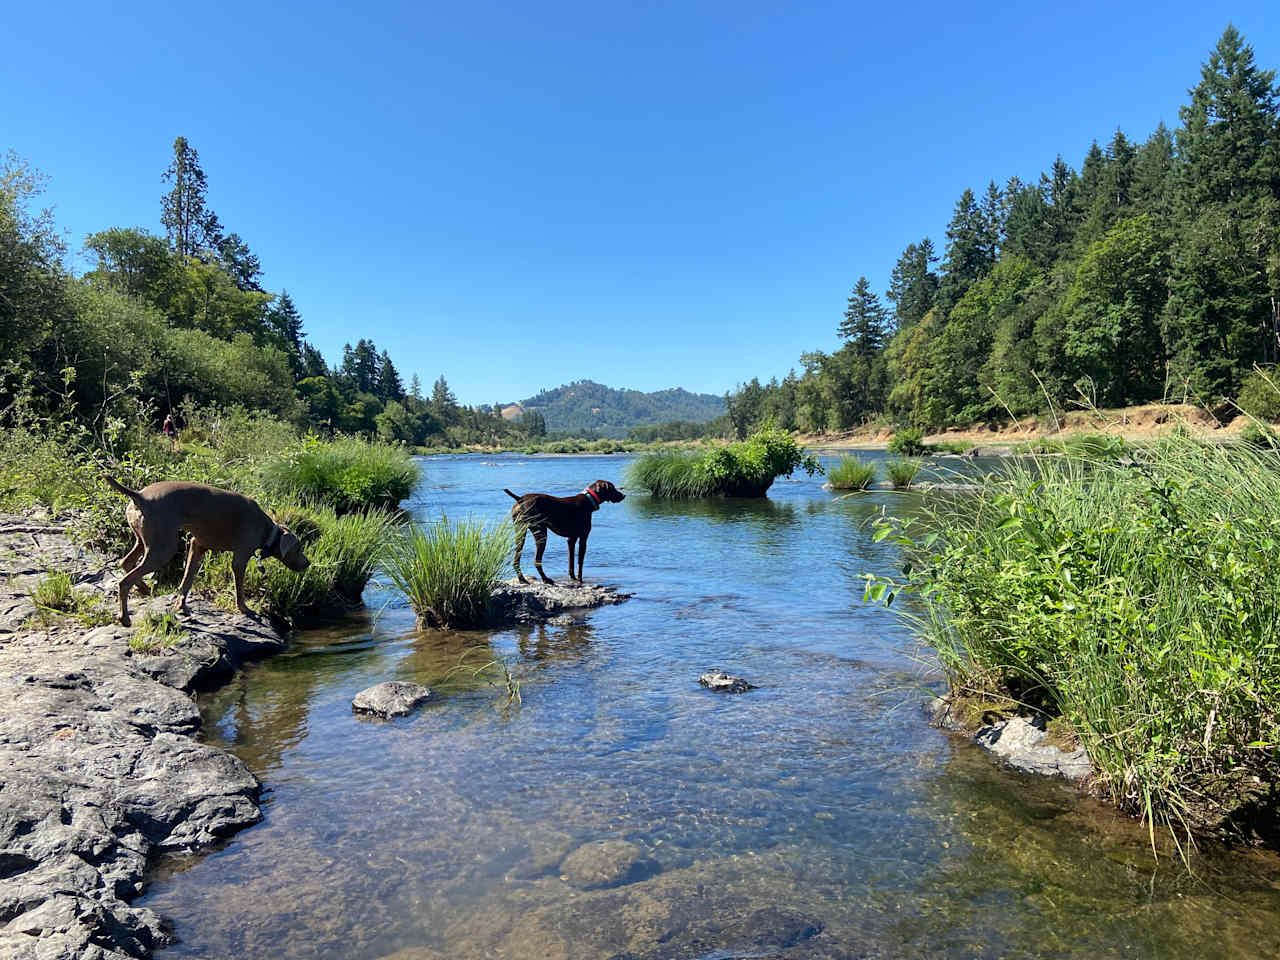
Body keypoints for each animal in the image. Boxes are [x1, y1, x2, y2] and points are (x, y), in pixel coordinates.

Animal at [104, 478, 309, 627]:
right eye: (298, 548)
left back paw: (145, 589)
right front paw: (245, 609)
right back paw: (124, 617)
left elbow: (187, 581)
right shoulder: (240, 557)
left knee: (126, 563)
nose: (308, 563)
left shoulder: (197, 546)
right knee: (124, 581)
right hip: (163, 549)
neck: (268, 529)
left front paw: (182, 606)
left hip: (144, 541)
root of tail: (140, 496)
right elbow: (239, 588)